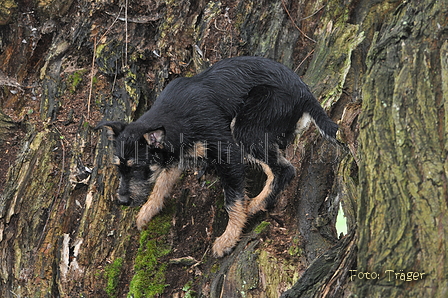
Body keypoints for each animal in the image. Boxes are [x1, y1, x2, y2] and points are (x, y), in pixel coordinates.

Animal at [96, 56, 338, 256]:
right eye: (119, 168)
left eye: (137, 167)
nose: (122, 201)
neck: (175, 118)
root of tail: (304, 92)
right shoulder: (175, 158)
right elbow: (162, 184)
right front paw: (147, 211)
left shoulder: (229, 155)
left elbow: (232, 201)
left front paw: (228, 239)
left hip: (246, 126)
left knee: (284, 170)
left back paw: (255, 204)